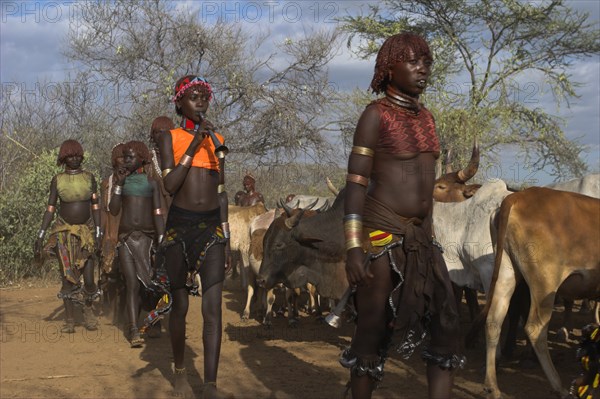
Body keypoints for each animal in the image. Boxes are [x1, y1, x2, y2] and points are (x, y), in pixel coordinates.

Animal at [474, 188, 600, 399]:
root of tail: (516, 196)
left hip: (506, 273)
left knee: (493, 321)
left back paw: (492, 387)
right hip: (546, 281)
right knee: (535, 327)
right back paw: (560, 387)